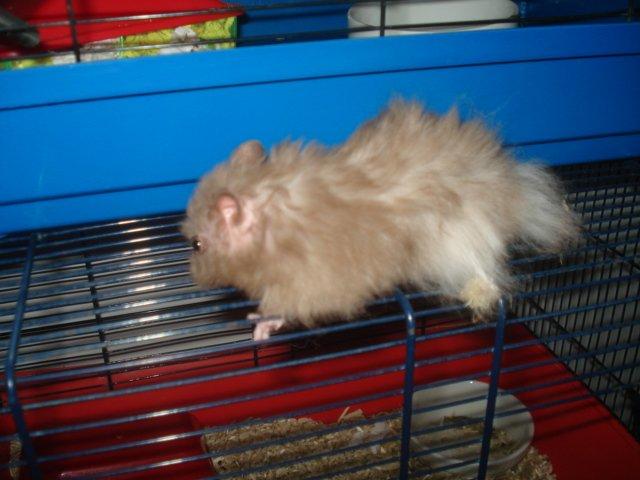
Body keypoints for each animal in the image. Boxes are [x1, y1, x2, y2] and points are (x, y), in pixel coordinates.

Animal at [182, 100, 580, 341]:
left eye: (197, 244)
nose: (193, 277)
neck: (272, 222)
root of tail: (514, 187)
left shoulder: (310, 283)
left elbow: (279, 308)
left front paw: (257, 327)